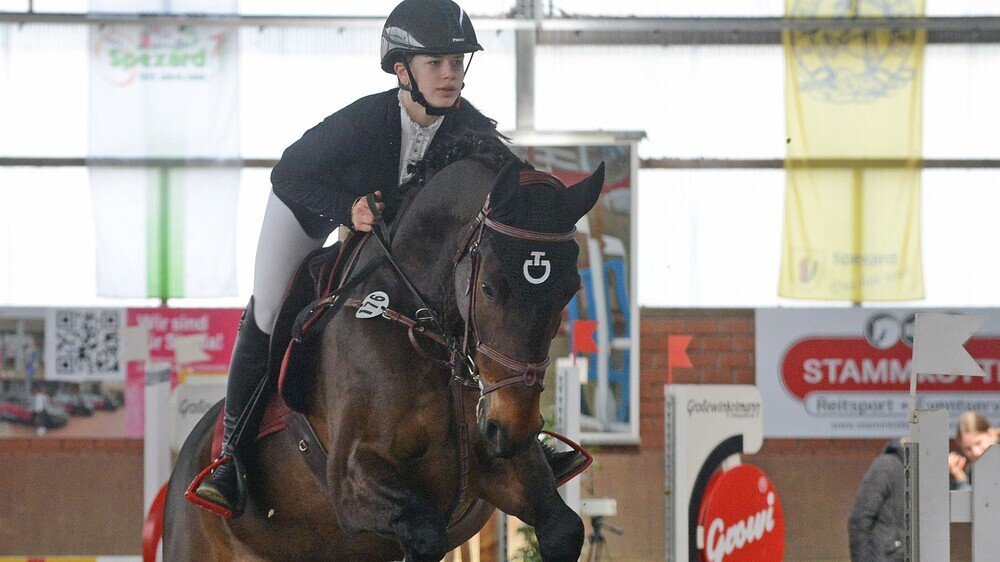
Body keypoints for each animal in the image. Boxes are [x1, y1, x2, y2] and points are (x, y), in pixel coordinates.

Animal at [162, 135, 605, 561]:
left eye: (571, 290)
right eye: (489, 288)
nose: (512, 428)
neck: (422, 324)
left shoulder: (505, 464)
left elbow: (563, 529)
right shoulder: (353, 478)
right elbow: (425, 534)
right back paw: (221, 480)